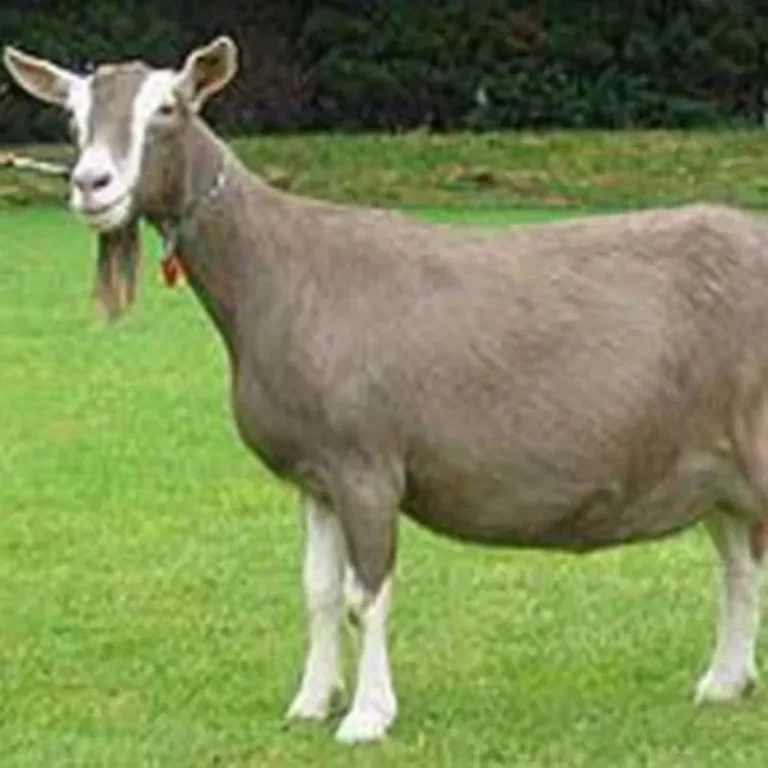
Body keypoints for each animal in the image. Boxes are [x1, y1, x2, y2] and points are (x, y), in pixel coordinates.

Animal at [5, 37, 768, 744]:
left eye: (168, 107)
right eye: (72, 116)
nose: (92, 184)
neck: (278, 274)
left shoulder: (366, 464)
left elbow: (364, 595)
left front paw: (368, 715)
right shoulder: (315, 474)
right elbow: (317, 591)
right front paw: (311, 702)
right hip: (709, 465)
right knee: (737, 561)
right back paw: (724, 681)